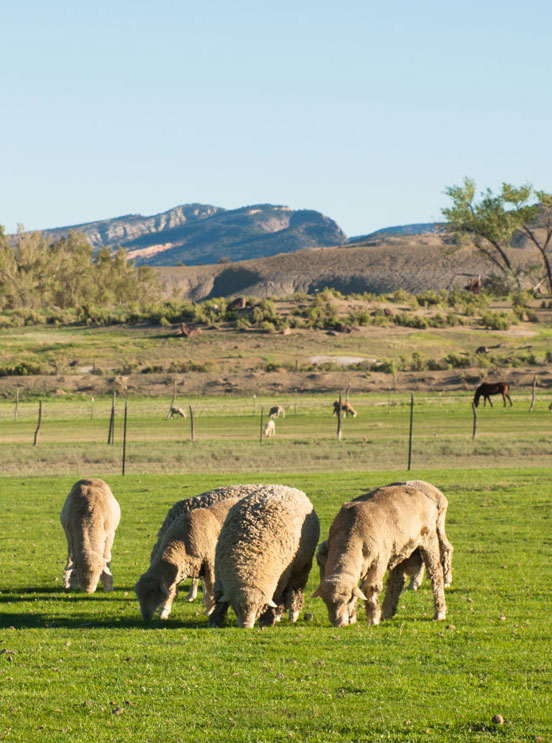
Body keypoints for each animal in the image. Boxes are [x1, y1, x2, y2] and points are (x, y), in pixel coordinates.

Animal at [208, 485, 320, 628]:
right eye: (236, 608)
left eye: (258, 607)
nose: (246, 626)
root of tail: (289, 488)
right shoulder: (219, 575)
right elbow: (219, 598)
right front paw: (215, 619)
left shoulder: (279, 578)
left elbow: (275, 597)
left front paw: (268, 619)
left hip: (301, 566)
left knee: (295, 588)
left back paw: (292, 613)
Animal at [312, 484, 446, 627]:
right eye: (325, 601)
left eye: (347, 599)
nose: (338, 623)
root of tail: (422, 494)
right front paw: (352, 617)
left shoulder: (379, 559)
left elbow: (370, 588)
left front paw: (373, 618)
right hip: (399, 548)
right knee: (396, 580)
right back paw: (387, 612)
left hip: (429, 538)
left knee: (436, 573)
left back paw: (439, 612)